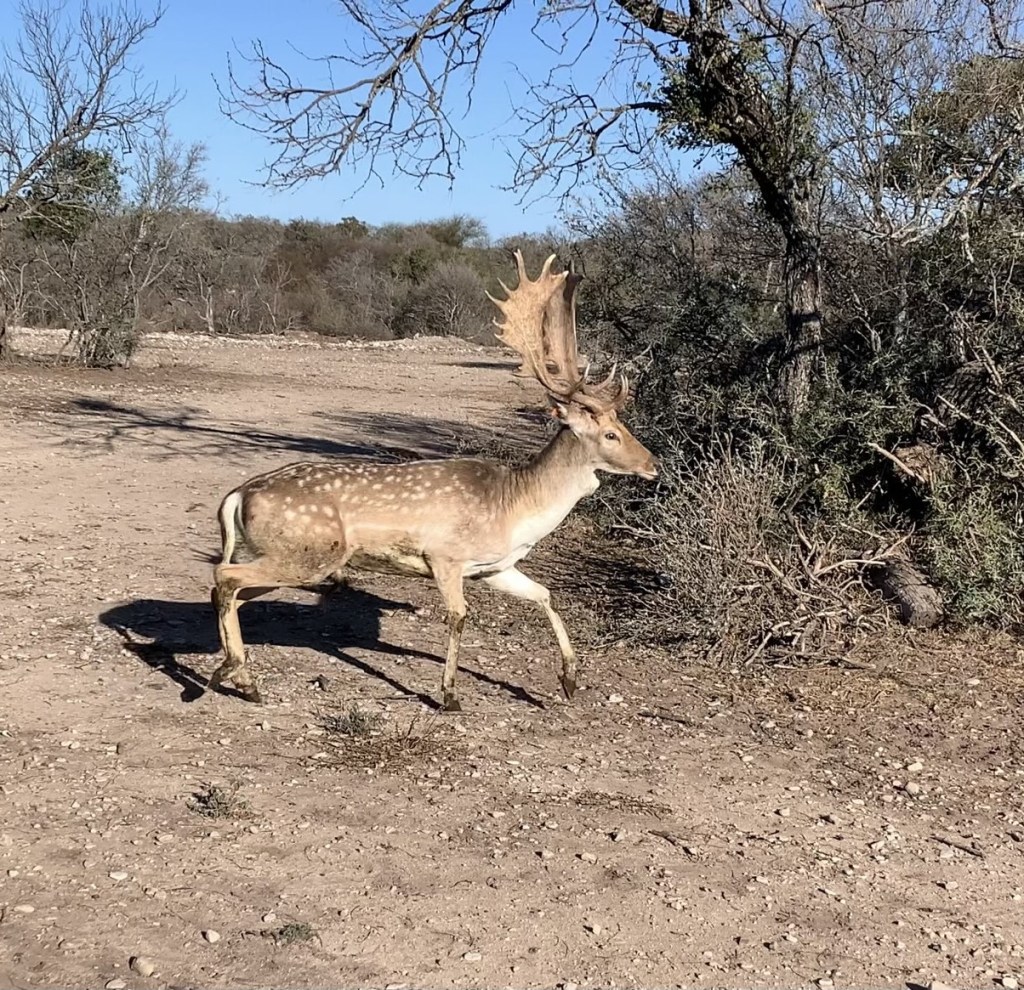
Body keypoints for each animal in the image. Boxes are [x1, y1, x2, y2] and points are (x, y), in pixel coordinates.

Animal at [209, 251, 658, 711]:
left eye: (621, 426)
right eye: (610, 434)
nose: (653, 463)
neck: (515, 509)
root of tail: (236, 496)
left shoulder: (494, 567)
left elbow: (544, 594)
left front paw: (568, 680)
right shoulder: (444, 556)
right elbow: (459, 616)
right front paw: (449, 695)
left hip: (289, 557)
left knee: (230, 590)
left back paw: (242, 679)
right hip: (309, 552)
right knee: (224, 579)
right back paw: (232, 673)